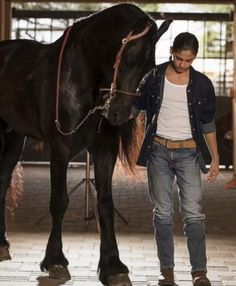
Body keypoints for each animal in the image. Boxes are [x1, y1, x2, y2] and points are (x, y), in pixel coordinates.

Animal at [0, 2, 171, 286]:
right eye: (126, 59)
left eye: (149, 68)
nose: (119, 114)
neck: (81, 74)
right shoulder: (60, 149)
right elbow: (59, 201)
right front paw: (55, 261)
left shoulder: (104, 150)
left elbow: (105, 203)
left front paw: (112, 266)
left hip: (14, 138)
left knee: (2, 181)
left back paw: (2, 242)